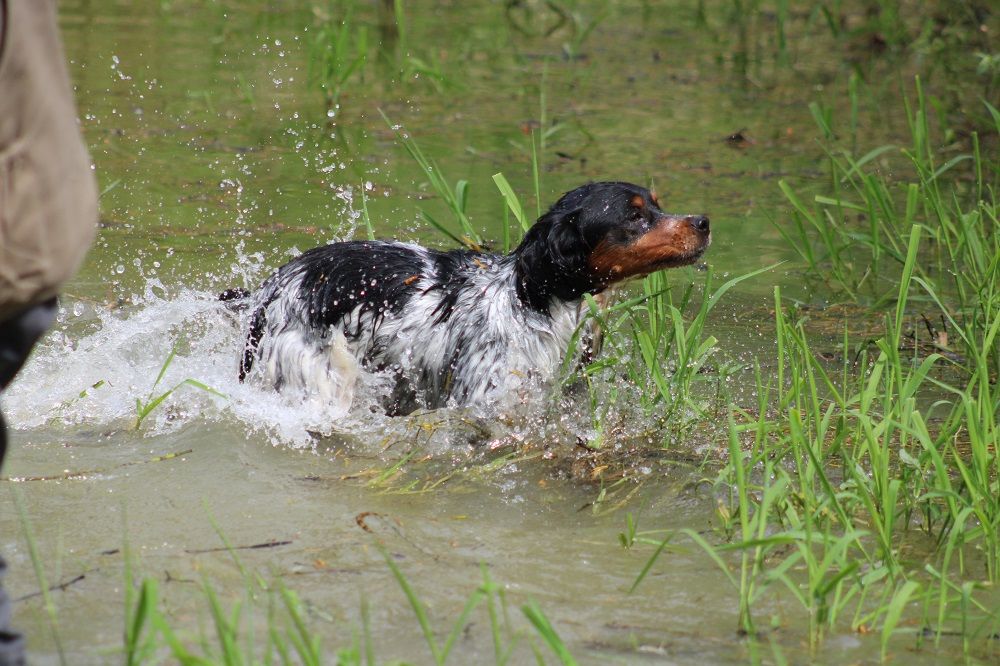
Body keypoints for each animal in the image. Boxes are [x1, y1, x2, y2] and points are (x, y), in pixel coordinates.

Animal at [229, 179, 712, 412]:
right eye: (634, 217)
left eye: (657, 204)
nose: (704, 221)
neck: (533, 303)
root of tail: (275, 284)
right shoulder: (486, 399)